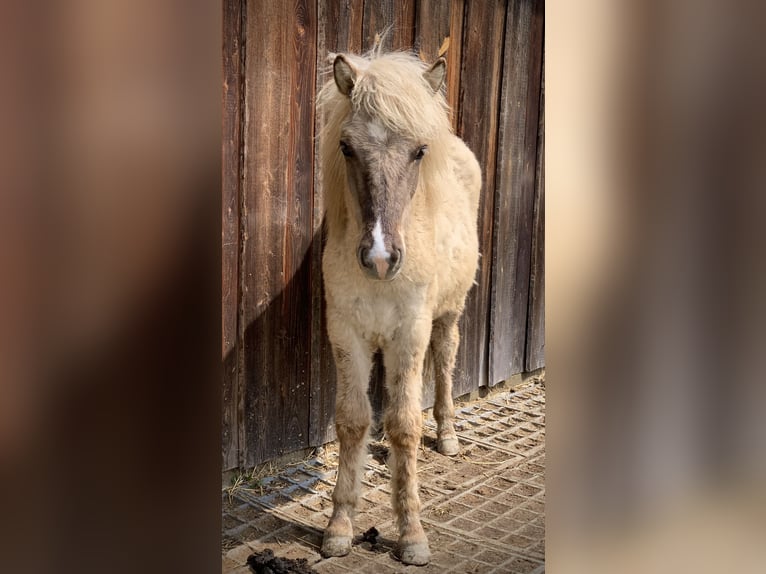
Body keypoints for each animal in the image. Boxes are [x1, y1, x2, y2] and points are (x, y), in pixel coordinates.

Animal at [317, 48, 481, 566]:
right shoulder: (346, 333)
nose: (380, 257)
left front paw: (411, 535)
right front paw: (340, 526)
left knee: (444, 361)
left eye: (419, 151)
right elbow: (354, 421)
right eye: (347, 148)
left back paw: (447, 435)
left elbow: (406, 424)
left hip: (447, 315)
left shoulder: (410, 333)